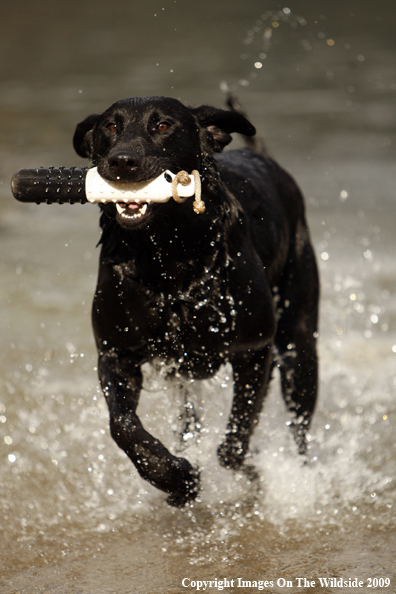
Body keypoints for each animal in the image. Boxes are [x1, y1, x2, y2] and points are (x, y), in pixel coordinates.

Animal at [73, 97, 318, 504]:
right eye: (110, 127)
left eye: (163, 126)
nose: (122, 161)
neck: (166, 255)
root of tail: (264, 157)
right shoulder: (116, 354)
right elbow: (123, 426)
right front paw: (175, 477)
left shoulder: (255, 350)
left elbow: (236, 439)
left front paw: (246, 472)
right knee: (187, 421)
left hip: (299, 346)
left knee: (300, 429)